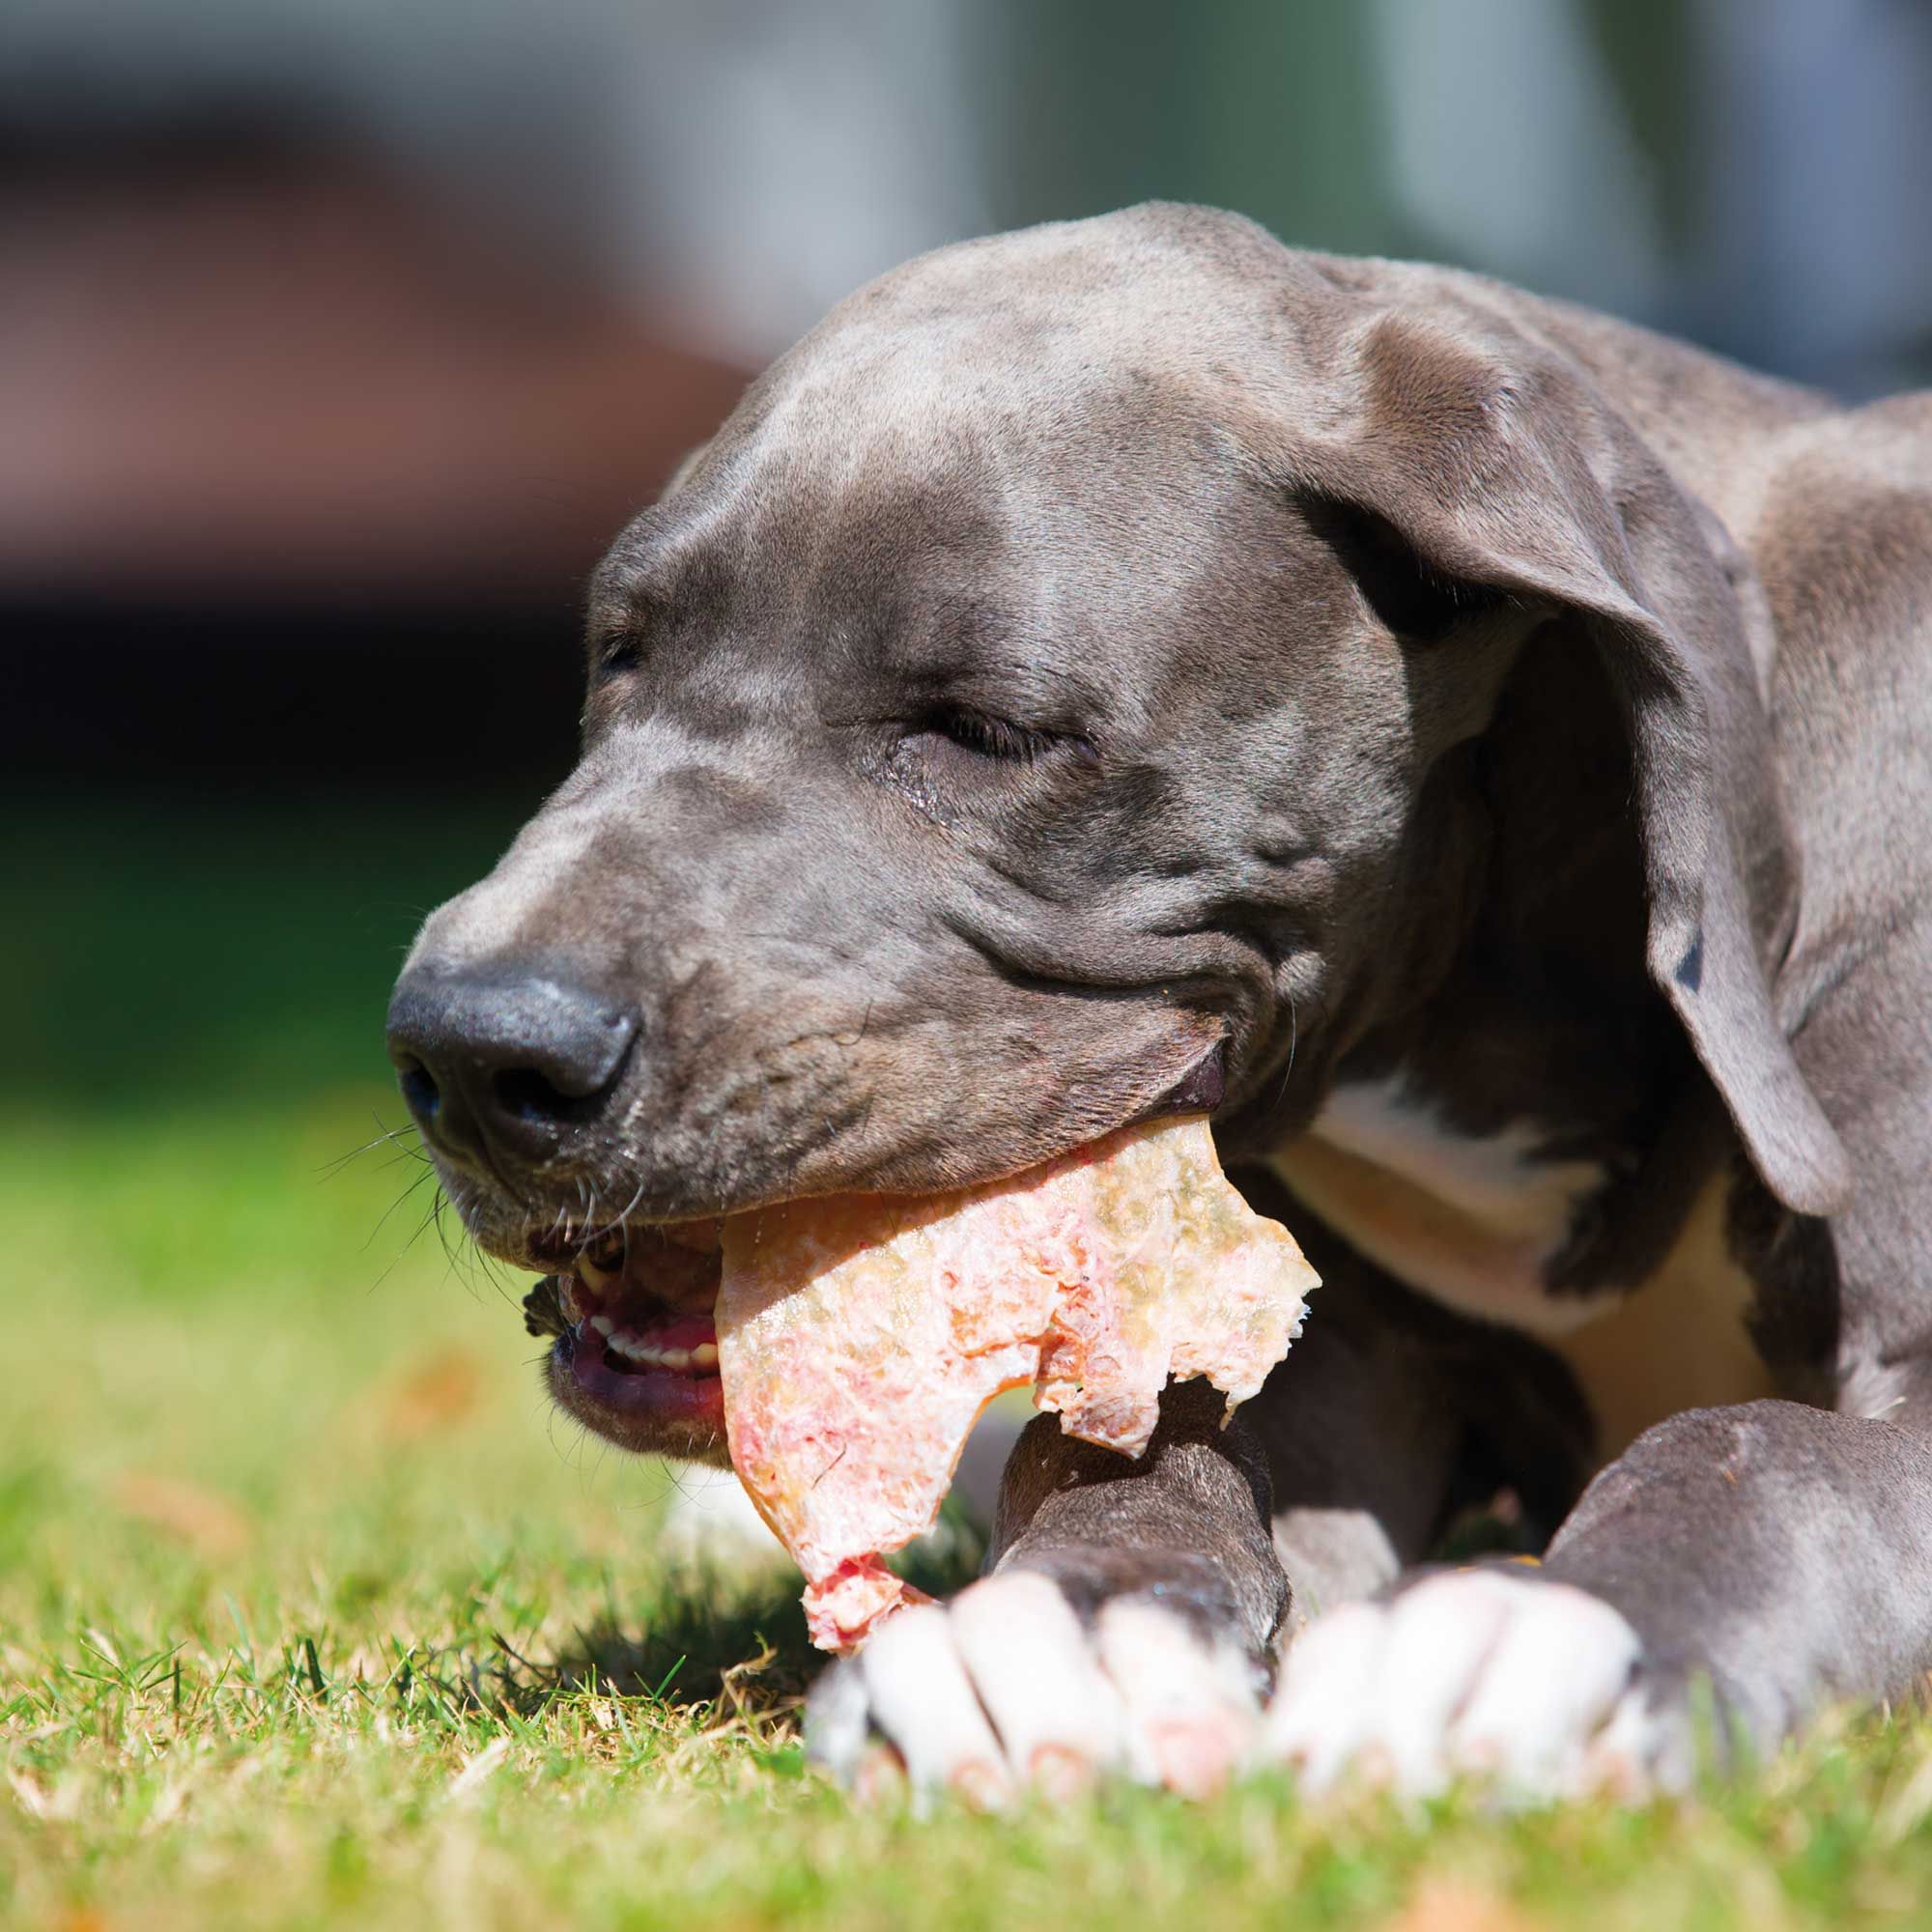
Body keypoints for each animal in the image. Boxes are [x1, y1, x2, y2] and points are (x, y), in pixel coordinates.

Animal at [384, 208, 1932, 1793]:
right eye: (619, 655)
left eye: (985, 729)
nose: (474, 1049)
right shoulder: (1351, 1370)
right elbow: (1132, 1453)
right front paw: (1066, 1614)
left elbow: (1762, 1454)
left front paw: (1559, 1634)